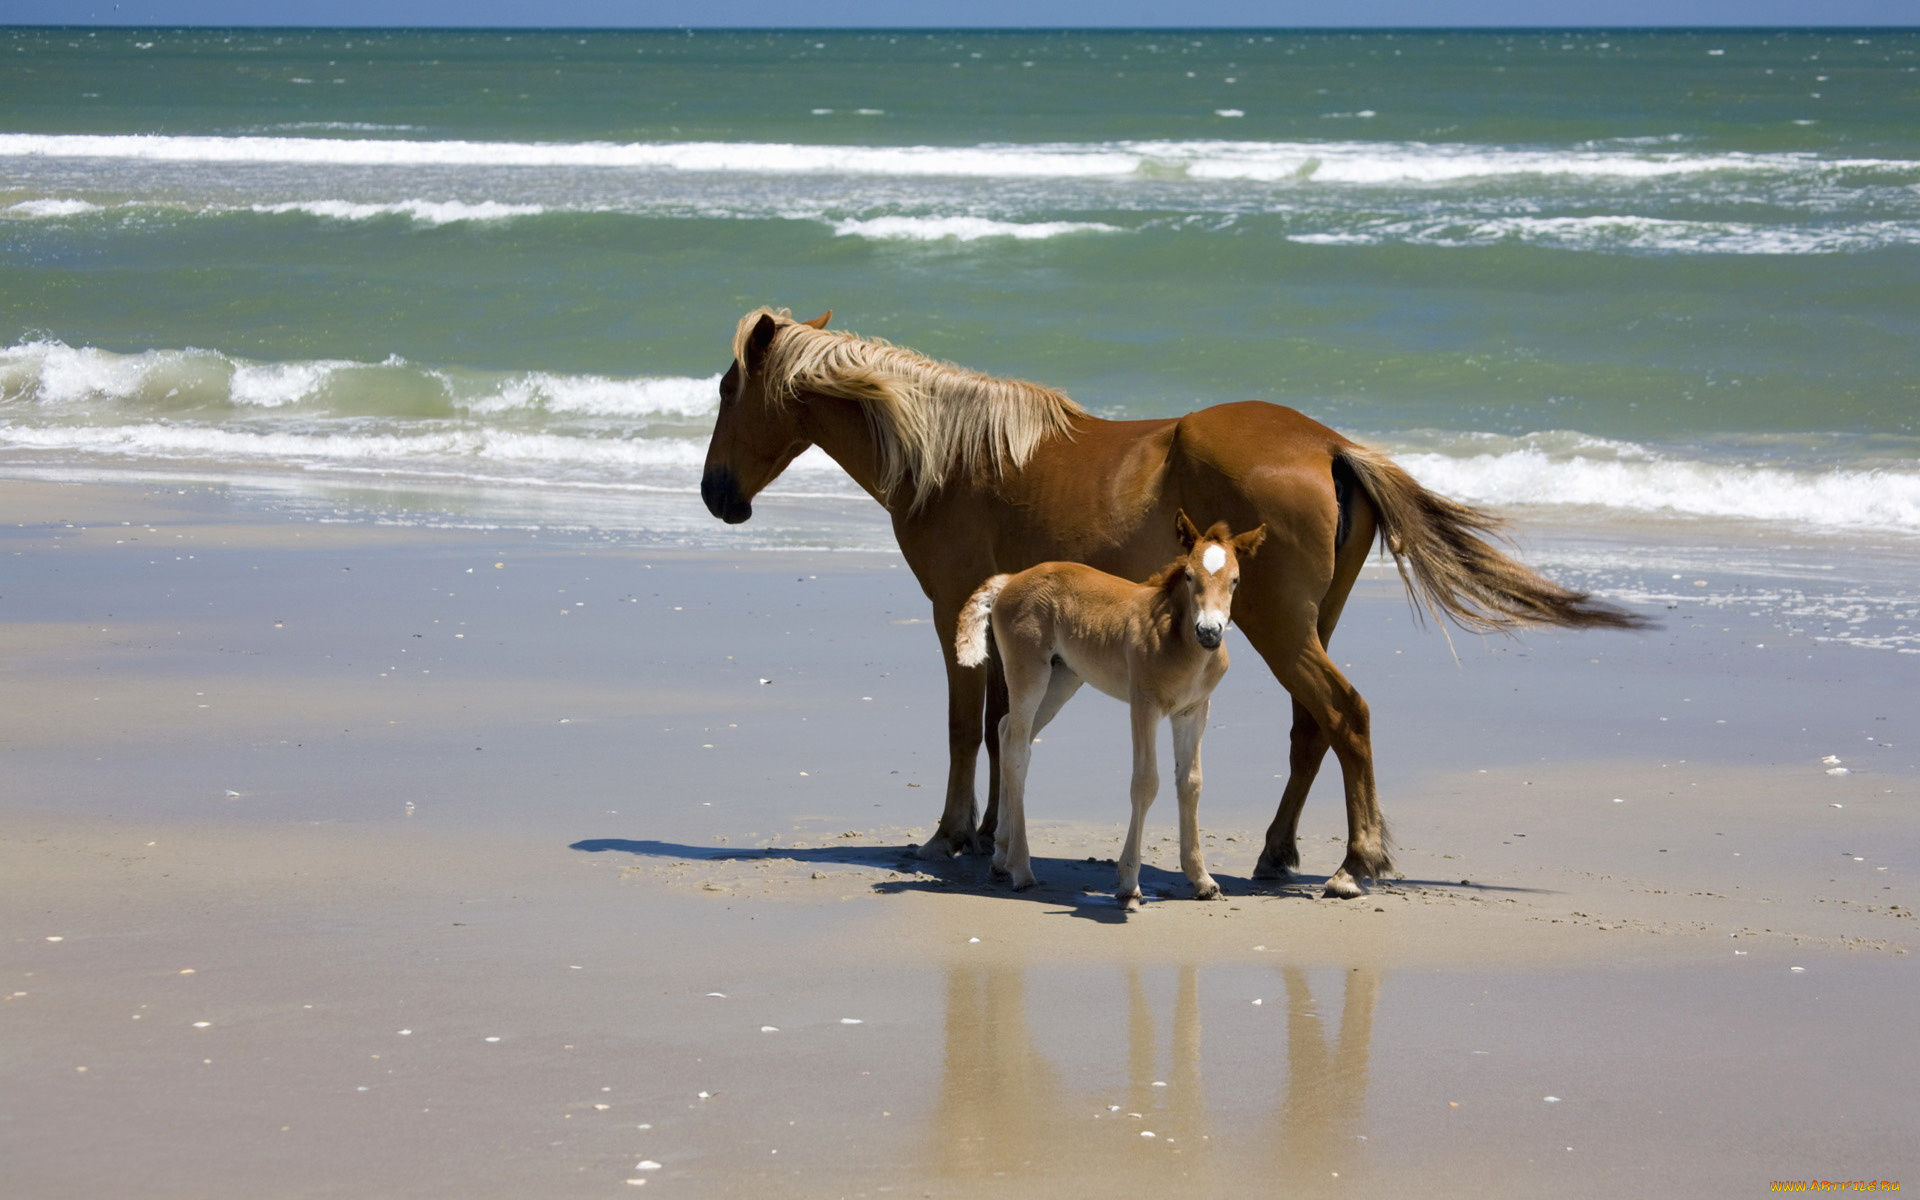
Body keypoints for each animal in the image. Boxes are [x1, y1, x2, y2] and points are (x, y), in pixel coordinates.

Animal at [698, 309, 1643, 898]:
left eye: (723, 389)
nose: (716, 495)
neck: (957, 456)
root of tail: (1330, 446)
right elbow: (1006, 730)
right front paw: (999, 838)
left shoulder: (952, 610)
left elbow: (969, 728)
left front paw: (952, 835)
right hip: (1306, 625)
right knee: (1314, 729)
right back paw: (1276, 855)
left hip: (1277, 627)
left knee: (1347, 715)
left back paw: (1354, 864)